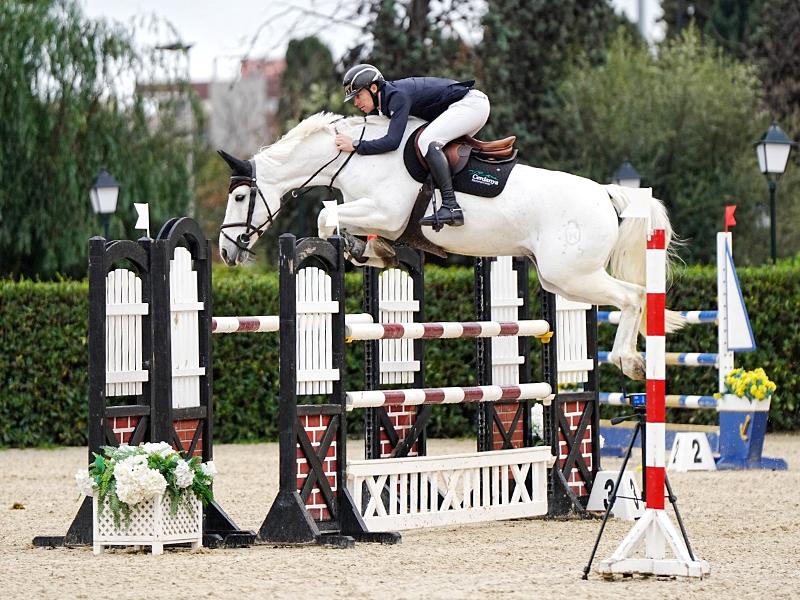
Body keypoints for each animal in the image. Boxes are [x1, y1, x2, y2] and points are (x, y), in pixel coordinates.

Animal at [217, 112, 683, 380]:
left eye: (239, 197)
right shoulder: (374, 213)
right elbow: (337, 220)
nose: (226, 251)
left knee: (632, 297)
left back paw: (630, 361)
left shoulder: (386, 212)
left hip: (573, 274)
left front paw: (362, 247)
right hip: (562, 280)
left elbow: (325, 216)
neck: (357, 155)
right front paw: (369, 251)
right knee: (629, 295)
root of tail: (606, 193)